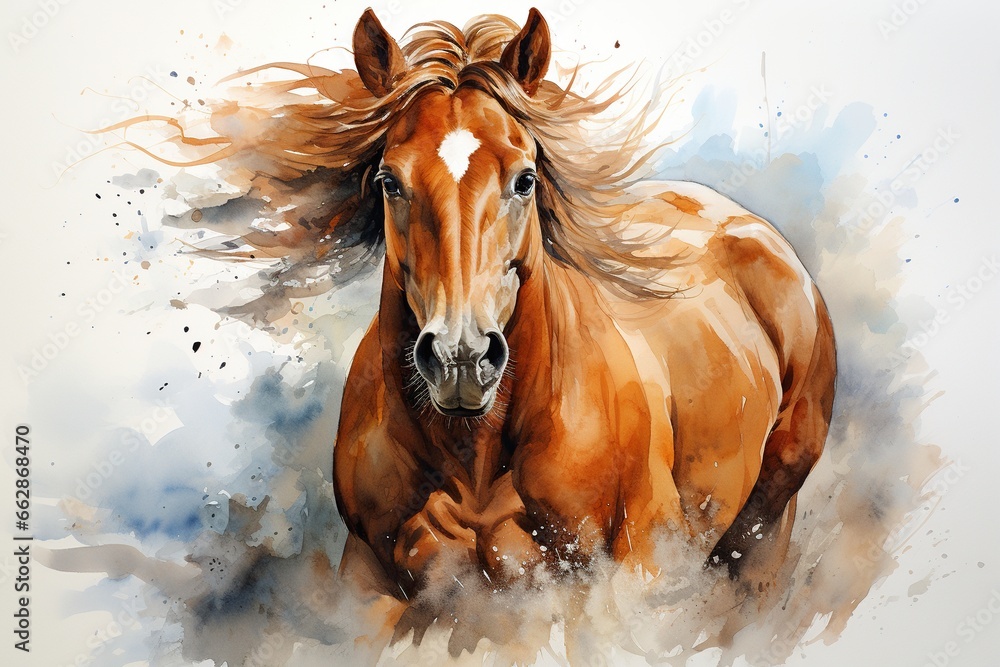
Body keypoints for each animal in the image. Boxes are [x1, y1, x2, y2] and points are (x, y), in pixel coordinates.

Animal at [329, 5, 837, 614]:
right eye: (389, 181)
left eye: (525, 179)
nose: (461, 358)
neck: (472, 462)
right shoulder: (371, 581)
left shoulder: (639, 568)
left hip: (760, 537)